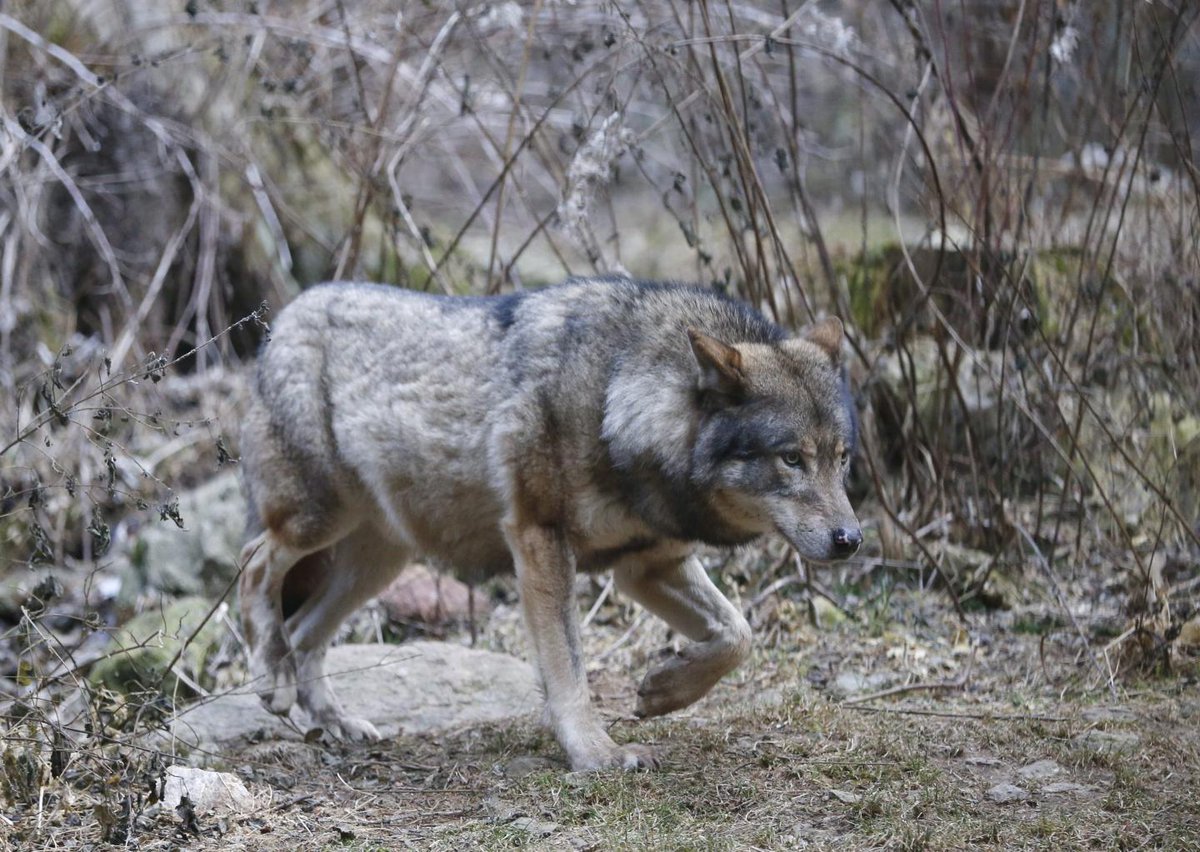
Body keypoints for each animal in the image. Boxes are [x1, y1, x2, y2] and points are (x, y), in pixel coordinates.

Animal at [238, 276, 861, 771]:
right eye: (791, 459)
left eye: (842, 458)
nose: (851, 540)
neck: (616, 396)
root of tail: (289, 312)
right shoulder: (540, 541)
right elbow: (568, 670)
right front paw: (596, 753)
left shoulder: (647, 564)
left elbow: (737, 634)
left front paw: (663, 691)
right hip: (317, 522)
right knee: (254, 568)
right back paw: (271, 676)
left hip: (380, 563)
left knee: (305, 632)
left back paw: (333, 723)